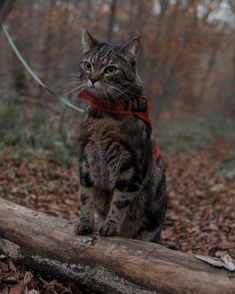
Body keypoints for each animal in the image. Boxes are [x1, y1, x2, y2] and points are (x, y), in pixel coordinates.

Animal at [74, 28, 166, 242]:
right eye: (88, 65)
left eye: (110, 69)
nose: (93, 79)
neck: (103, 115)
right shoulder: (86, 160)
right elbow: (86, 196)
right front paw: (85, 222)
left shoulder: (131, 166)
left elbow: (120, 200)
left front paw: (111, 225)